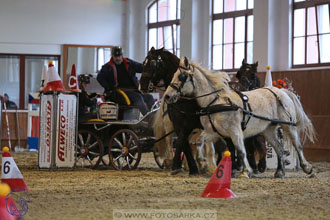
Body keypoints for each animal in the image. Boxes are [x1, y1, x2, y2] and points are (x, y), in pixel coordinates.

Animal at [164, 56, 316, 177]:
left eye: (181, 77)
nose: (166, 96)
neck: (216, 101)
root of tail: (281, 91)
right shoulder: (214, 131)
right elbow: (200, 141)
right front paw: (204, 162)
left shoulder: (235, 131)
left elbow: (241, 151)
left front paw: (245, 171)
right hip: (268, 129)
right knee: (278, 148)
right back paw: (279, 172)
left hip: (288, 125)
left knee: (297, 145)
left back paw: (307, 168)